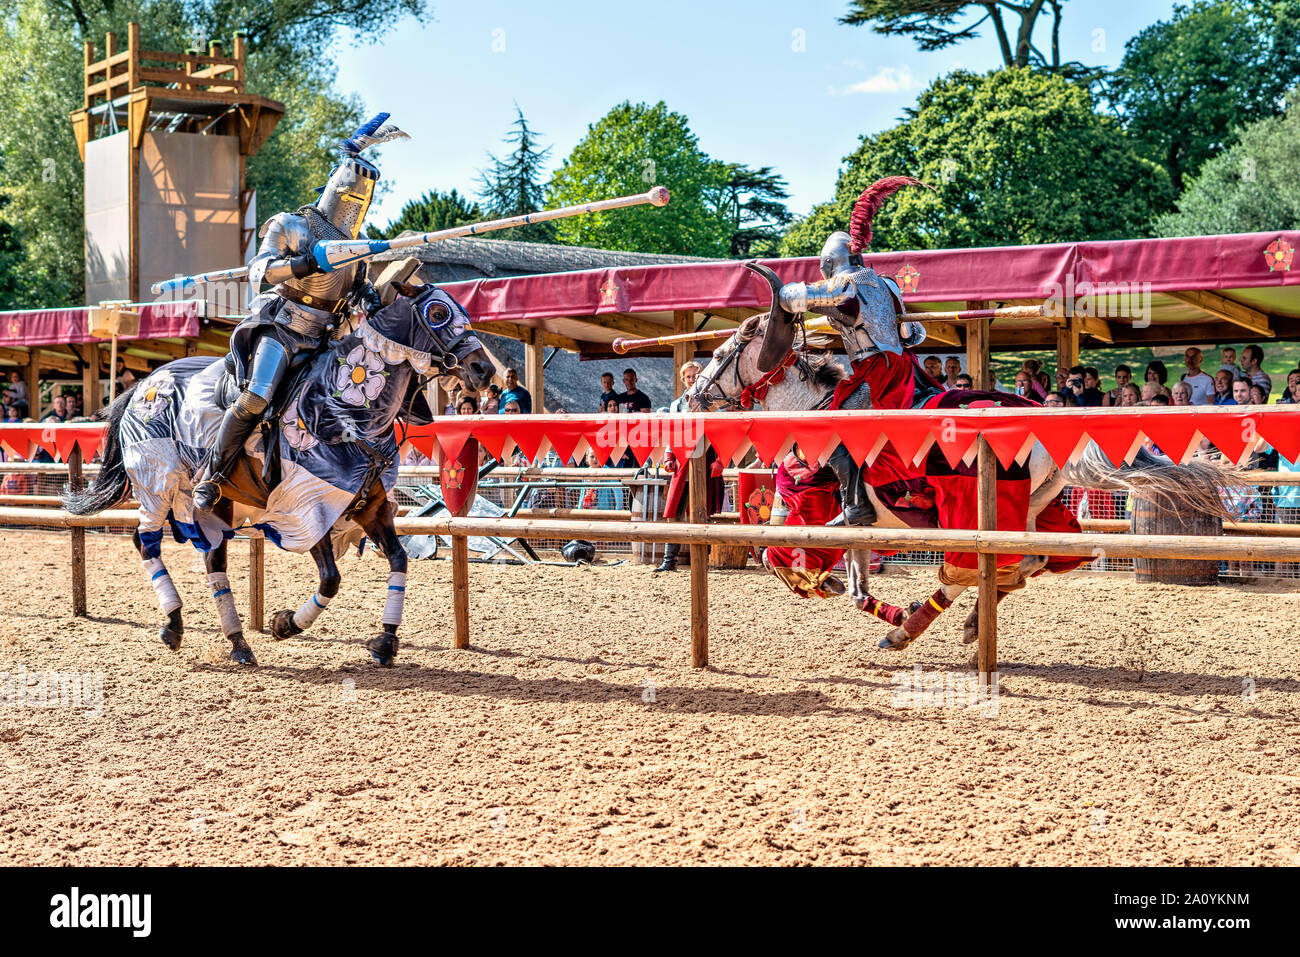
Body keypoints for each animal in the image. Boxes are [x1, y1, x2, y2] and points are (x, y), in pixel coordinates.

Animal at [64, 276, 491, 665]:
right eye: (438, 313)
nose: (482, 368)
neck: (344, 412)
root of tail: (141, 386)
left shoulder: (370, 509)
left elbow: (399, 560)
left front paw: (385, 641)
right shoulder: (307, 508)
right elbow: (331, 579)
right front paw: (286, 624)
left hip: (217, 505)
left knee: (212, 561)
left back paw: (238, 643)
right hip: (157, 483)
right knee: (145, 541)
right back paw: (174, 624)